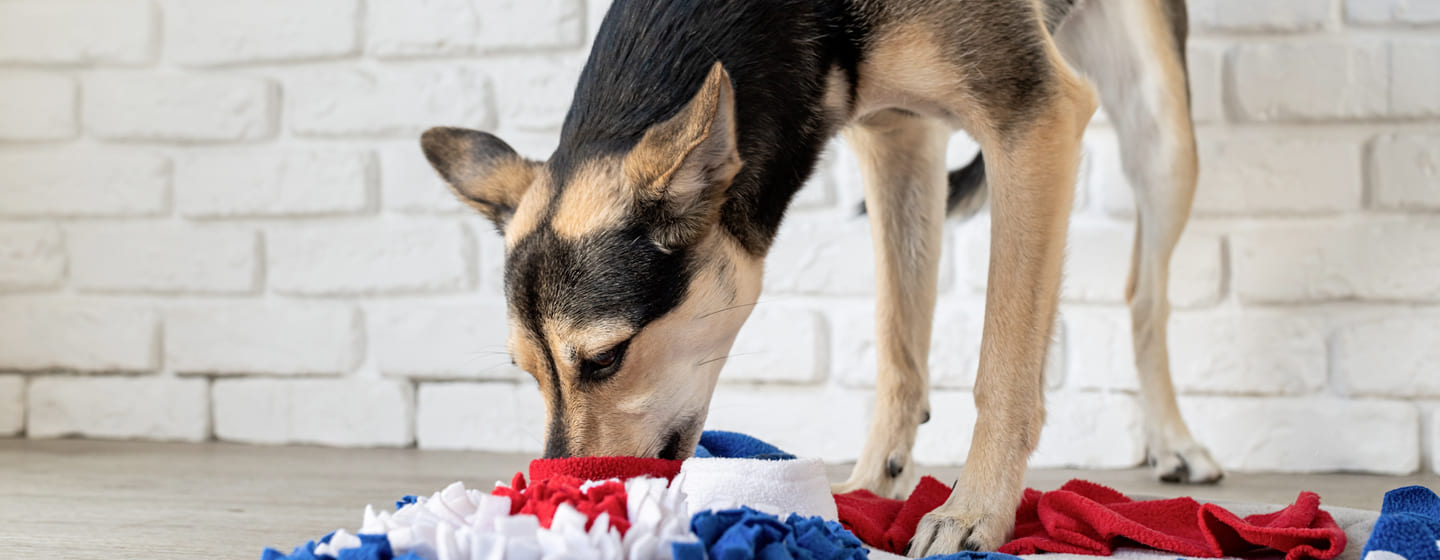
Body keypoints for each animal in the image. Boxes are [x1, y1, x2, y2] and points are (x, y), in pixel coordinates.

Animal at [420, 0, 1221, 552]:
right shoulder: (899, 138)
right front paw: (867, 490)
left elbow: (1005, 366)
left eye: (607, 358)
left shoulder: (1033, 117)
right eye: (527, 372)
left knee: (1145, 294)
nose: (562, 501)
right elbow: (898, 340)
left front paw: (974, 511)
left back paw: (1176, 441)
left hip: (1161, 126)